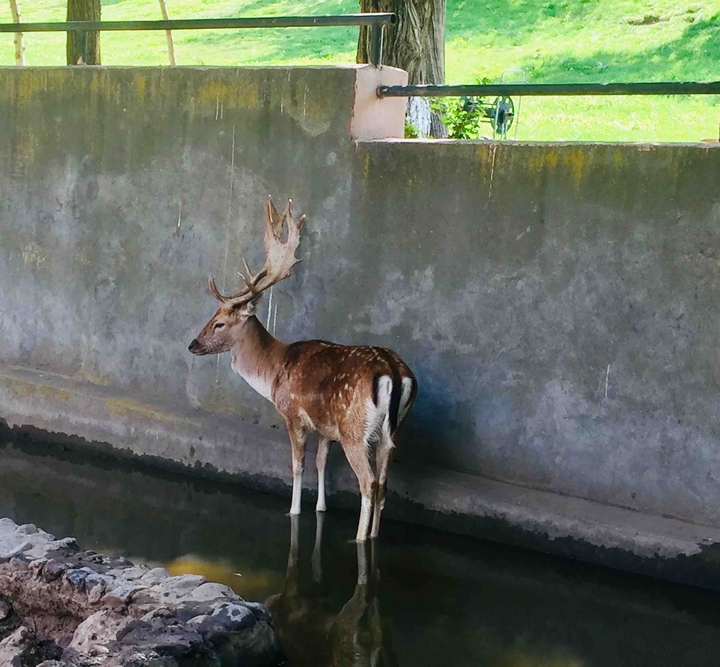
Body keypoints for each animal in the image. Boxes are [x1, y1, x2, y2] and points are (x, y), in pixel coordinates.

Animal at [188, 197, 417, 541]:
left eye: (219, 323)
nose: (193, 344)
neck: (274, 371)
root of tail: (393, 370)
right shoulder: (326, 428)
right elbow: (321, 462)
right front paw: (320, 507)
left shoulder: (293, 414)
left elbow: (298, 464)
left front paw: (294, 510)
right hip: (391, 431)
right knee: (384, 483)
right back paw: (374, 534)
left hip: (355, 429)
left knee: (369, 483)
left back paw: (359, 537)